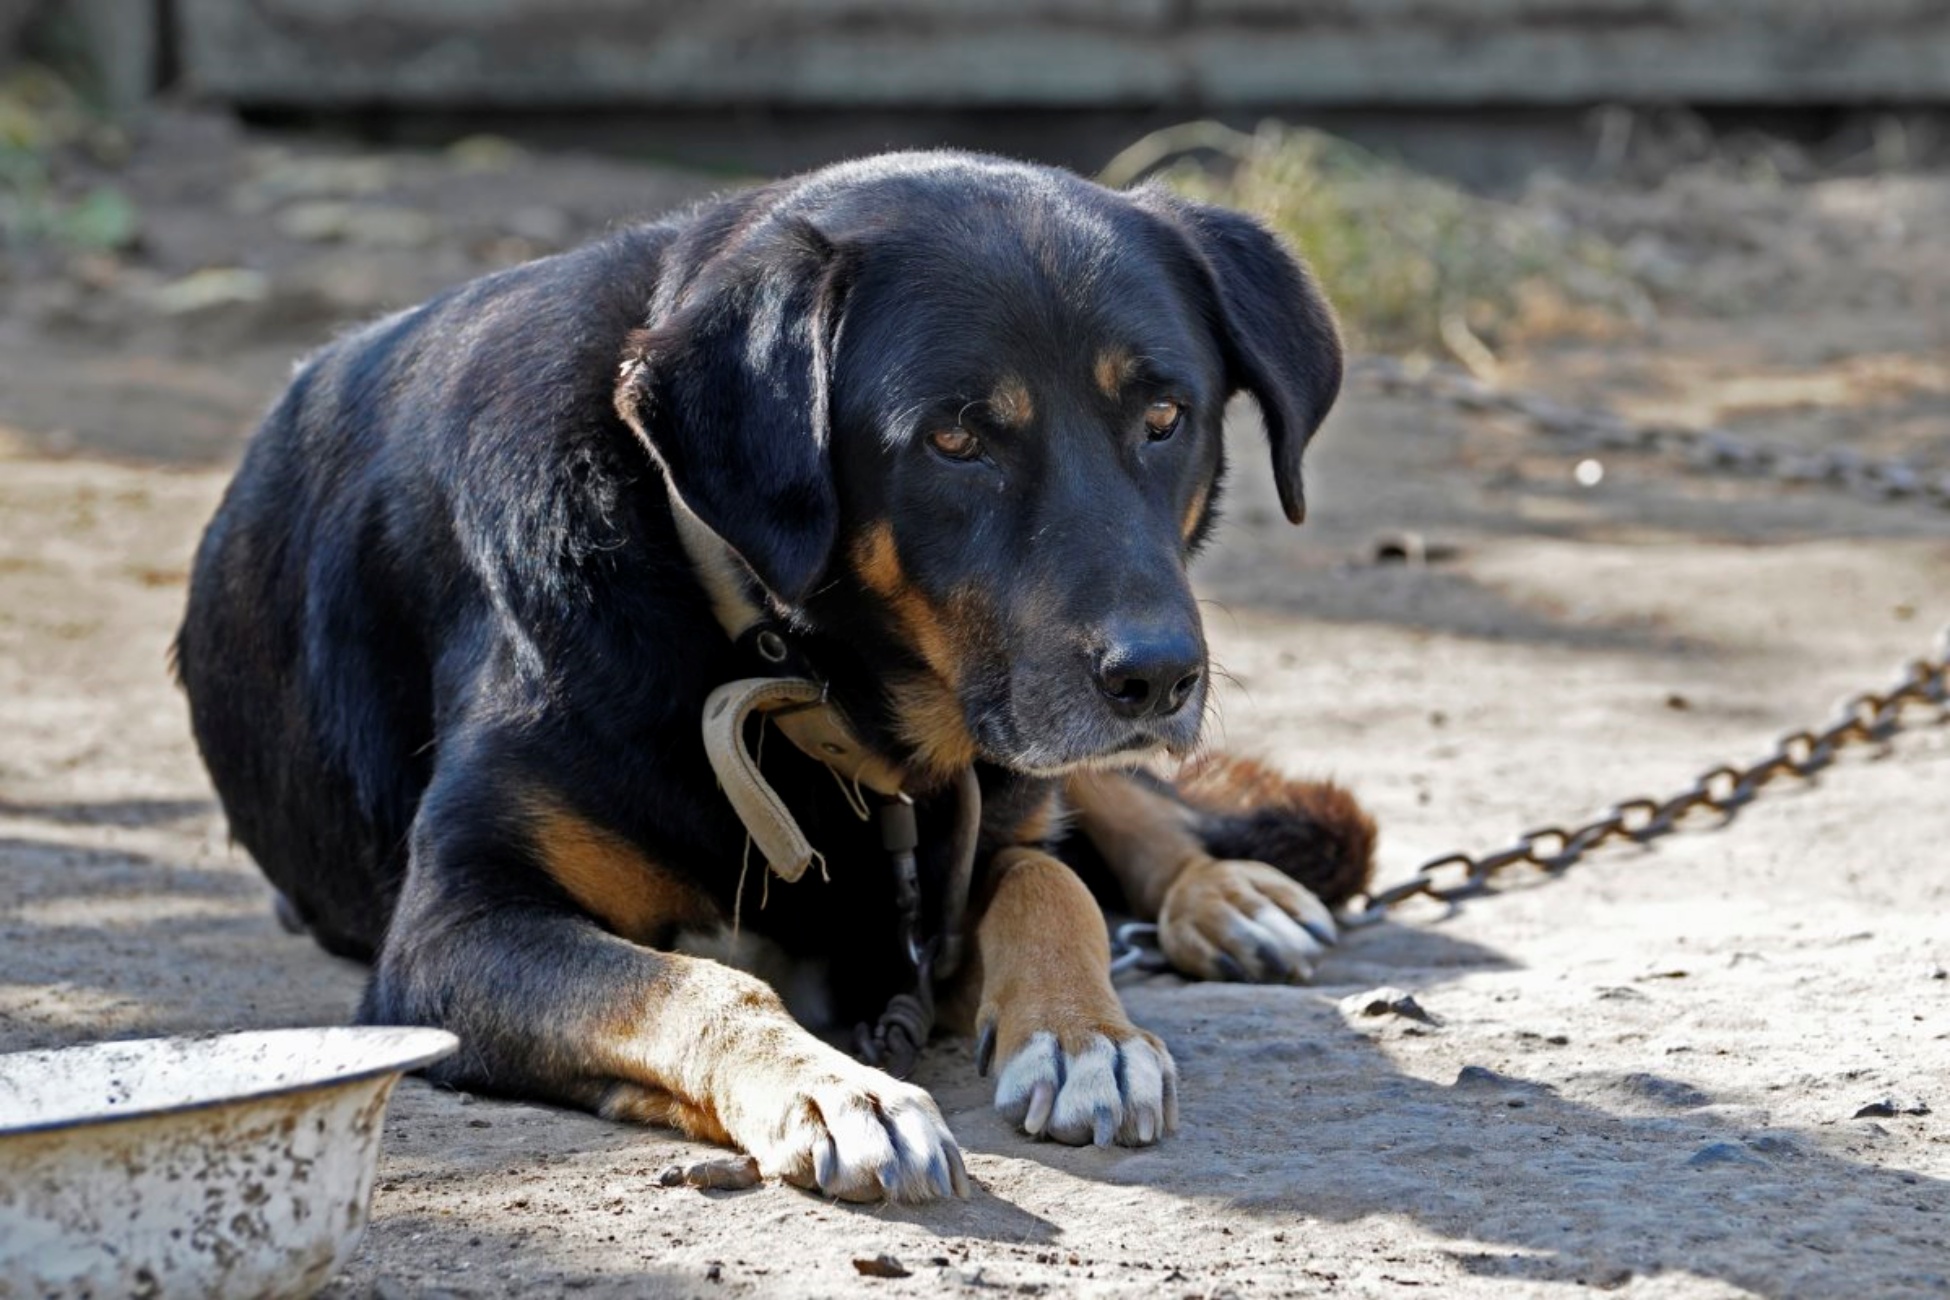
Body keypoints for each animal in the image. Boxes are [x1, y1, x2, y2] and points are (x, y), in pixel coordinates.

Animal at [175, 154, 1380, 1208]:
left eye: (1166, 419)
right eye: (954, 440)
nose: (1159, 678)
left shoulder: (958, 851)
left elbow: (1048, 878)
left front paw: (1091, 1035)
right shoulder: (452, 933)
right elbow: (696, 980)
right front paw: (831, 1085)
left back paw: (1224, 893)